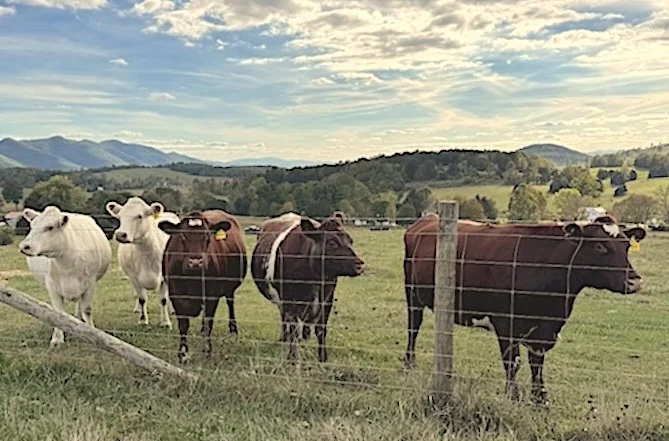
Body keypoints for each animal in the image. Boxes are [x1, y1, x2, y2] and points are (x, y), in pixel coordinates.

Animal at [18, 206, 112, 347]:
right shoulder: (51, 285)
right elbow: (58, 312)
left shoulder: (90, 283)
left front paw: (91, 332)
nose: (24, 246)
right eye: (32, 226)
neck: (67, 262)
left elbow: (87, 309)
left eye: (50, 227)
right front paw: (57, 339)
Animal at [106, 197, 180, 328]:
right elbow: (142, 299)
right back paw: (138, 309)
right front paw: (142, 320)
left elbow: (163, 299)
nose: (120, 234)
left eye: (139, 216)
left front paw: (165, 322)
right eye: (120, 217)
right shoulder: (134, 277)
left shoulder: (165, 276)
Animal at [158, 210, 247, 363]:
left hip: (230, 289)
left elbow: (208, 323)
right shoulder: (176, 294)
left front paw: (207, 351)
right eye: (182, 236)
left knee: (230, 303)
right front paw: (183, 354)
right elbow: (183, 324)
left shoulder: (212, 295)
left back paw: (233, 331)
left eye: (208, 237)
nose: (196, 262)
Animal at [250, 212, 365, 362]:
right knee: (285, 321)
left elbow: (321, 330)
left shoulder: (327, 299)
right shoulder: (289, 301)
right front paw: (292, 357)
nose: (360, 265)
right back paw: (285, 338)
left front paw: (322, 358)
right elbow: (293, 329)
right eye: (332, 242)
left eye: (350, 241)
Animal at [403, 214, 646, 406]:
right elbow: (513, 363)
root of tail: (427, 219)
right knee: (413, 328)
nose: (634, 281)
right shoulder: (504, 323)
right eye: (599, 246)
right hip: (412, 295)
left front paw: (540, 398)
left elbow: (537, 364)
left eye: (626, 246)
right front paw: (513, 397)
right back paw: (409, 363)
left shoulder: (544, 329)